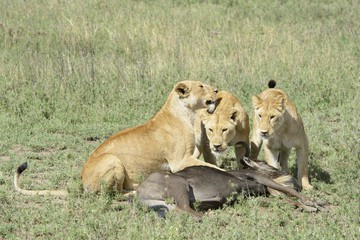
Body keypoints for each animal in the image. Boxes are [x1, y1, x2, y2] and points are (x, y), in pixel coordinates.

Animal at [14, 80, 221, 197]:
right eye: (201, 86)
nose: (218, 90)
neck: (187, 114)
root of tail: (82, 183)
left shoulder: (189, 156)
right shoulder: (179, 161)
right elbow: (212, 167)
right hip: (112, 160)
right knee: (113, 194)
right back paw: (135, 192)